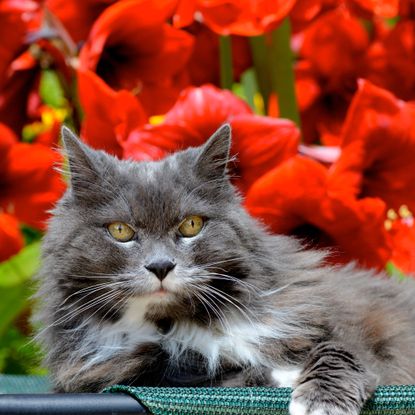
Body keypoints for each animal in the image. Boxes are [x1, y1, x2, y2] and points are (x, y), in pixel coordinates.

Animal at [34, 126, 415, 415]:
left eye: (191, 225)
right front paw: (282, 378)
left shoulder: (340, 322)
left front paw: (319, 402)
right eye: (120, 231)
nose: (160, 266)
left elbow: (340, 350)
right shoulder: (104, 371)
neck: (184, 323)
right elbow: (196, 371)